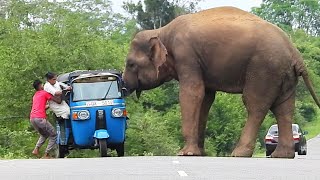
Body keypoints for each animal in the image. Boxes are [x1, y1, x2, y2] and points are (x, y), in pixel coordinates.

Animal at [121, 6, 318, 158]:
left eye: (130, 64)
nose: (122, 85)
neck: (161, 31)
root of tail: (295, 52)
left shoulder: (186, 55)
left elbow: (192, 93)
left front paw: (185, 153)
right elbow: (206, 98)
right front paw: (199, 153)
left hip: (264, 69)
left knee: (255, 105)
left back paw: (239, 153)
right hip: (283, 74)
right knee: (284, 108)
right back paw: (282, 155)